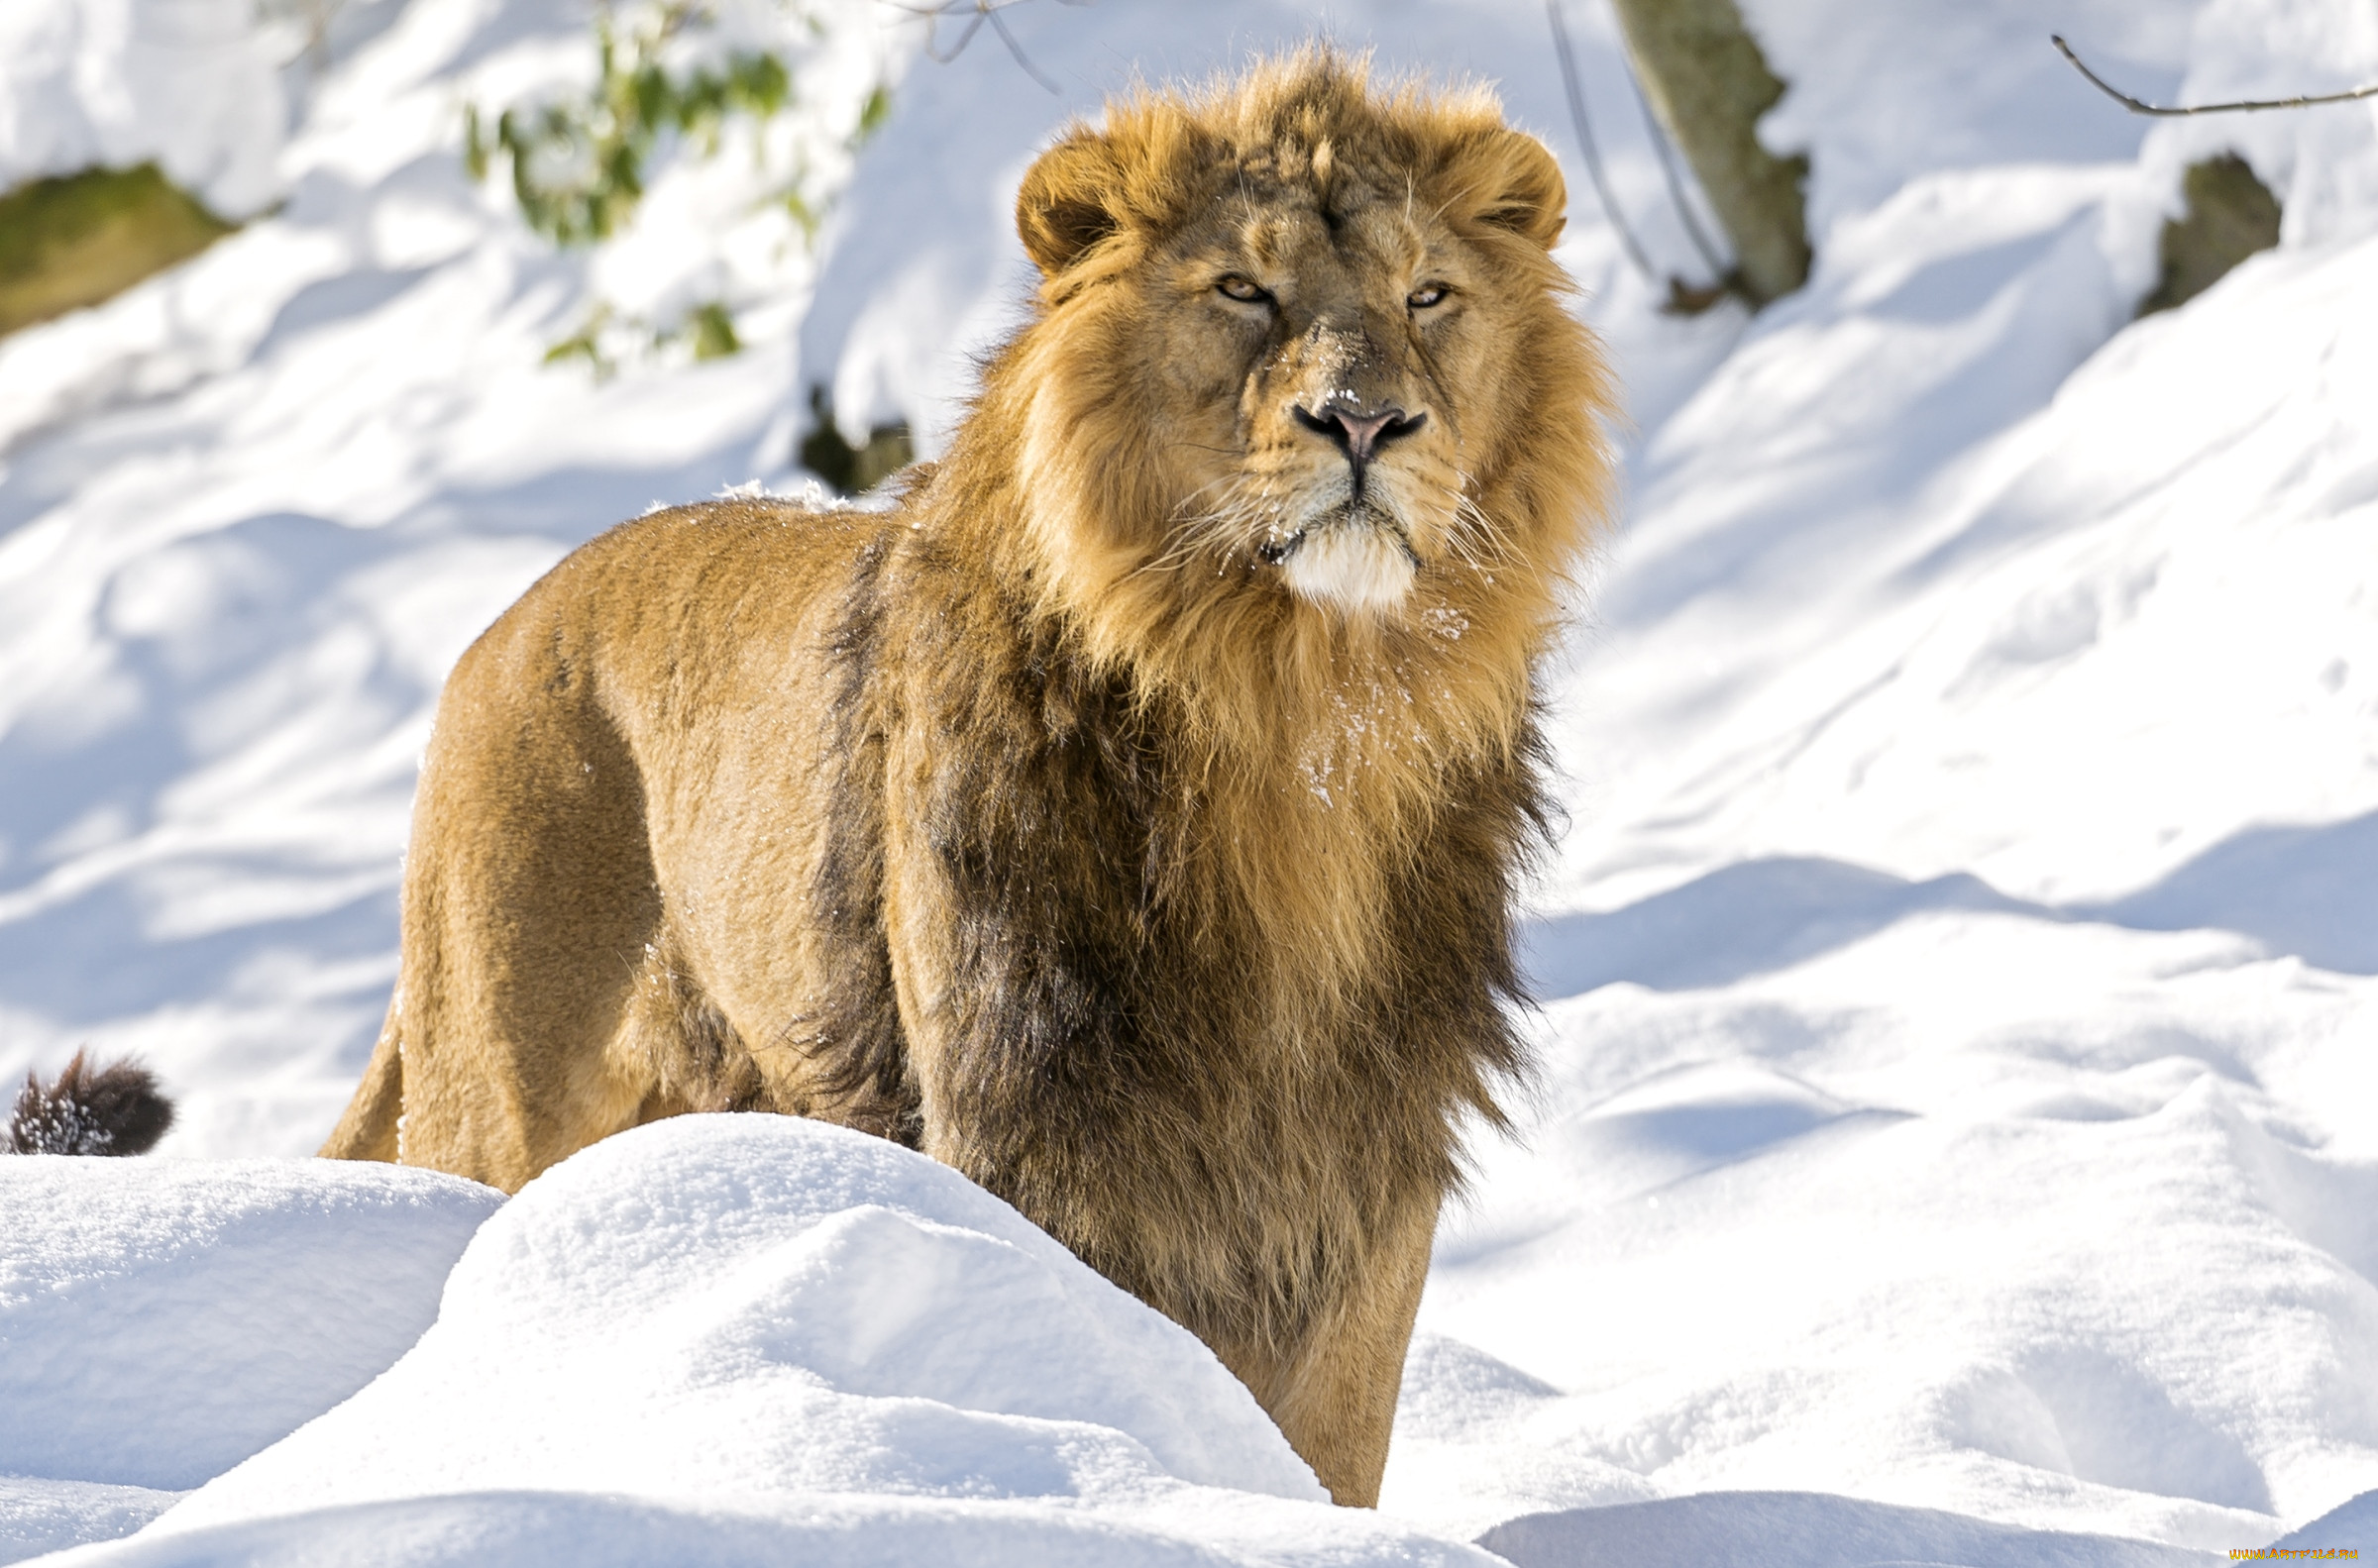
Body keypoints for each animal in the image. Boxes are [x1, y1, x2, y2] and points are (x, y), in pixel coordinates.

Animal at [321, 52, 1617, 1511]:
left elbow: (1330, 1446)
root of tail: (494, 634)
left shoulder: (1368, 1158)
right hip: (492, 1102)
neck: (1298, 721)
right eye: (1244, 289)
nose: (1364, 419)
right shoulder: (1032, 1117)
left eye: (1428, 295)